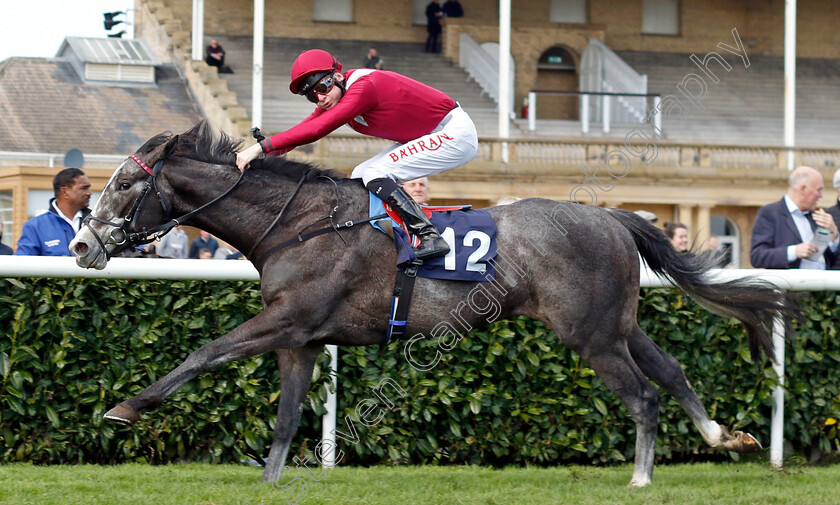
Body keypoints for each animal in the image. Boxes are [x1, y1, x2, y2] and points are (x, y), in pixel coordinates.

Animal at [70, 121, 796, 484]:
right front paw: (274, 478)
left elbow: (206, 351)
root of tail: (614, 217)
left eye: (127, 182)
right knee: (670, 371)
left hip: (589, 336)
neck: (296, 222)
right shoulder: (300, 337)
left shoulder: (285, 319)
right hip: (617, 325)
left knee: (644, 396)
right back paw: (723, 435)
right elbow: (286, 415)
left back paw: (641, 480)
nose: (81, 242)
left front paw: (125, 406)